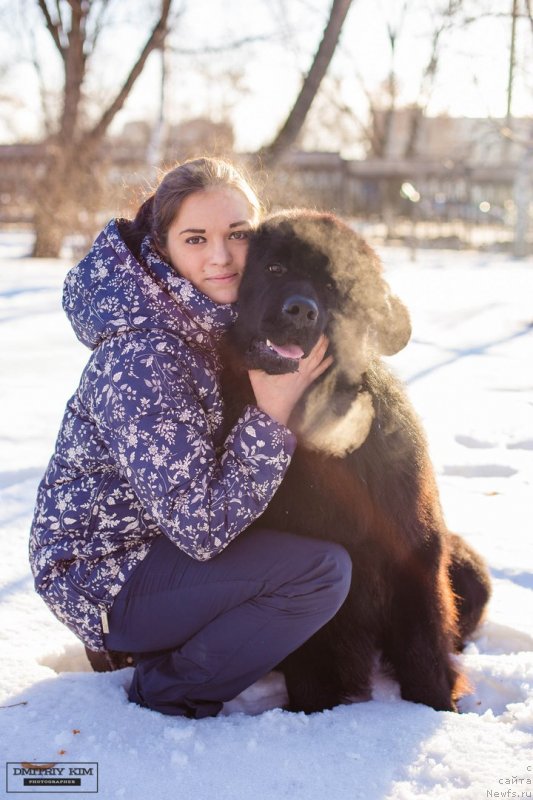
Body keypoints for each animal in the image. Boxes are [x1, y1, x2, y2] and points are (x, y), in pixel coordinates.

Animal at [220, 211, 490, 712]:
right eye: (274, 269)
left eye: (336, 288)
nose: (302, 310)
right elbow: (316, 663)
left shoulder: (414, 551)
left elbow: (424, 648)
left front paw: (436, 708)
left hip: (471, 571)